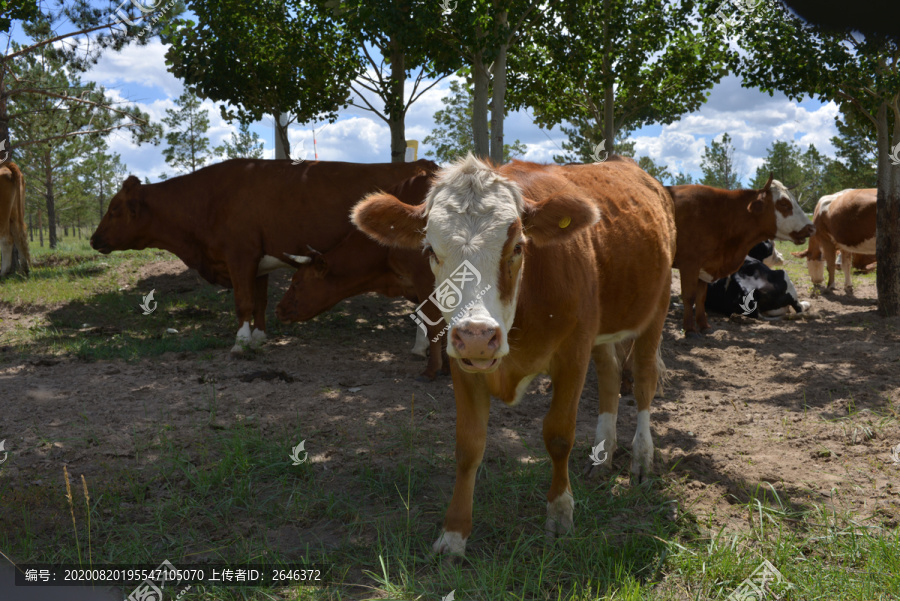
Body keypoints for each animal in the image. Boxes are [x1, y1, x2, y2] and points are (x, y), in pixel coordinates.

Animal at [90, 158, 436, 352]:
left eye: (115, 208)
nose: (93, 239)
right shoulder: (257, 262)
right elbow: (259, 301)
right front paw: (258, 338)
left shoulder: (240, 254)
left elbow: (243, 301)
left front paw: (241, 343)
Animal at [352, 156, 676, 556]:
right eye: (430, 251)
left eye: (518, 247)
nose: (477, 335)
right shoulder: (462, 362)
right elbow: (469, 444)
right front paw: (454, 534)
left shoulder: (573, 351)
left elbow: (558, 436)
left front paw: (560, 515)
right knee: (610, 375)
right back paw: (603, 455)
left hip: (656, 307)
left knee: (643, 378)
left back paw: (642, 459)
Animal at [668, 177, 816, 338]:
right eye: (784, 203)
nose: (811, 228)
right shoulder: (690, 264)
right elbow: (689, 296)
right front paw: (690, 330)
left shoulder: (704, 268)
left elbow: (699, 297)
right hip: (784, 275)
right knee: (799, 307)